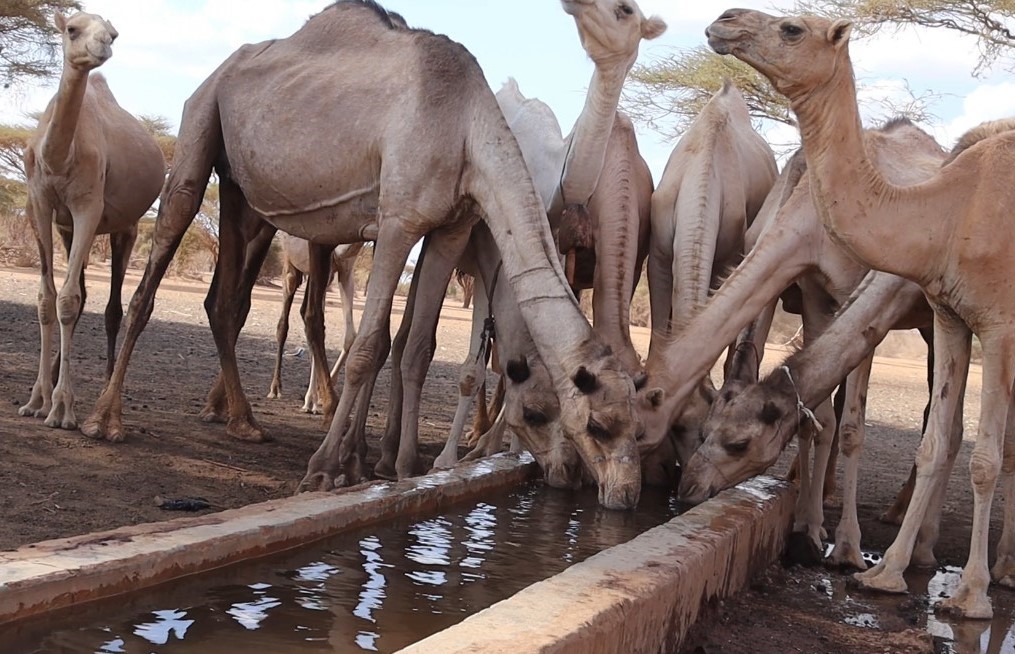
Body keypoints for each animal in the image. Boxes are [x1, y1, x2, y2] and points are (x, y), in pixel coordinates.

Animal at [18, 12, 164, 430]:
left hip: (125, 227)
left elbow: (68, 300)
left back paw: (106, 404)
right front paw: (36, 400)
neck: (57, 158)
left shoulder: (88, 206)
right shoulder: (41, 204)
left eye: (113, 33)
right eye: (72, 29)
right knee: (80, 295)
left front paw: (62, 409)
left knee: (113, 308)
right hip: (69, 228)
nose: (102, 46)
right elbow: (48, 299)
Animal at [266, 233, 363, 414]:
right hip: (290, 265)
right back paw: (275, 389)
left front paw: (320, 395)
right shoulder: (325, 267)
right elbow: (316, 323)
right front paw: (312, 399)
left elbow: (350, 336)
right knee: (283, 325)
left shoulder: (345, 271)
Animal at [636, 118, 944, 552]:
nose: (688, 488)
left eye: (739, 444)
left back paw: (906, 523)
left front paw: (846, 544)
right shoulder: (814, 291)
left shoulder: (853, 287)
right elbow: (818, 416)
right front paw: (807, 523)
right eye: (705, 431)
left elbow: (851, 425)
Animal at [706, 7, 1015, 618]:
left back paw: (1002, 569)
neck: (950, 209)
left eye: (793, 28)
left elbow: (982, 456)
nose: (723, 19)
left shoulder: (998, 326)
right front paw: (887, 570)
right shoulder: (947, 314)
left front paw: (967, 594)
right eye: (703, 429)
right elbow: (935, 440)